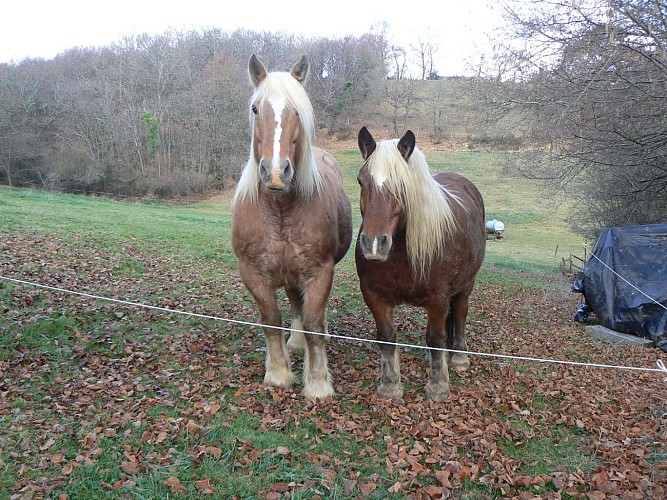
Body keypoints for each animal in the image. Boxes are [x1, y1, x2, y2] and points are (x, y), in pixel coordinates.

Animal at [231, 54, 352, 400]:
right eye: (255, 108)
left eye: (297, 111)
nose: (275, 173)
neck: (280, 210)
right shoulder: (253, 272)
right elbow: (271, 320)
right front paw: (278, 373)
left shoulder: (320, 273)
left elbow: (314, 325)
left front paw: (318, 383)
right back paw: (295, 344)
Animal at [354, 127, 486, 400]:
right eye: (361, 181)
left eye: (403, 185)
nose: (374, 244)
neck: (400, 253)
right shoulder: (374, 295)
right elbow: (387, 337)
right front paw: (390, 384)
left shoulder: (438, 296)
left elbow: (435, 337)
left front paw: (438, 385)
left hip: (466, 285)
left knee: (459, 313)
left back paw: (458, 357)